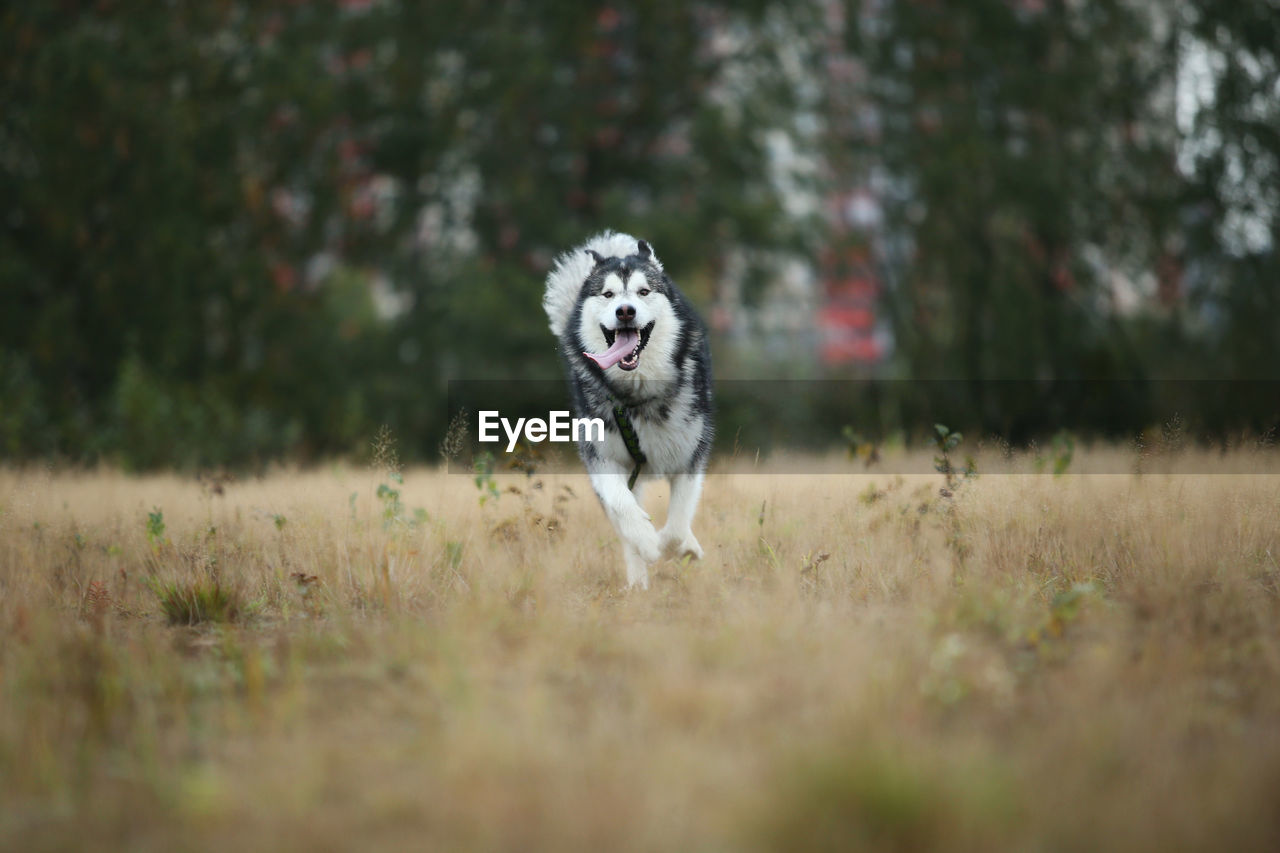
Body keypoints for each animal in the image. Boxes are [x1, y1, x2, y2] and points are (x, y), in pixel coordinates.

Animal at [542, 229, 716, 589]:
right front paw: (647, 541)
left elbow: (677, 524)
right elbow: (621, 506)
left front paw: (673, 544)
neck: (637, 394)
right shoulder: (601, 457)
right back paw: (638, 583)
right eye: (608, 294)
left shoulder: (691, 455)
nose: (625, 311)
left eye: (643, 291)